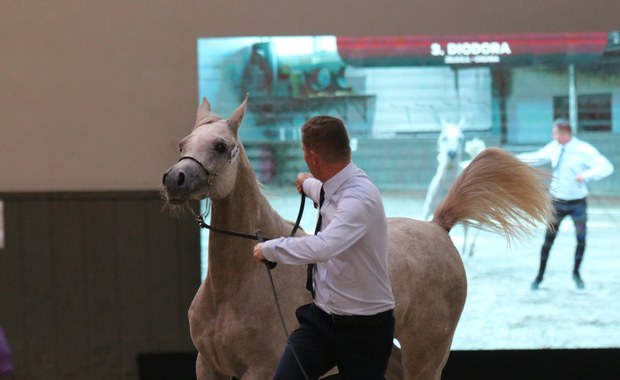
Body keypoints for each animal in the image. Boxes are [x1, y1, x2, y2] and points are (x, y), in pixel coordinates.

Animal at [161, 95, 552, 380]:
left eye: (221, 146)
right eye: (182, 144)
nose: (174, 180)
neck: (237, 286)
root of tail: (438, 227)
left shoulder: (260, 369)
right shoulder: (208, 366)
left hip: (427, 354)